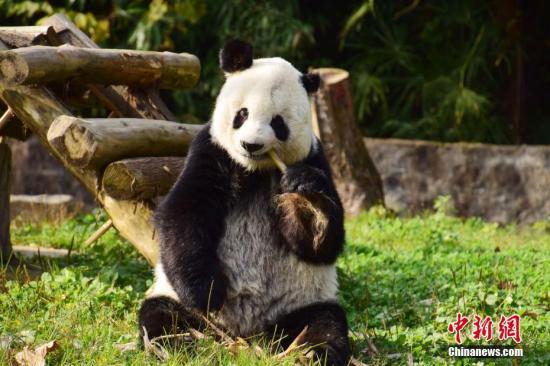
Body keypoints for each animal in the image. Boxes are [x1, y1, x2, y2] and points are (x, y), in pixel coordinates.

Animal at [140, 40, 352, 366]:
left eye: (278, 123)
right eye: (242, 114)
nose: (251, 145)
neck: (255, 170)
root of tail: (247, 333)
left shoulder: (314, 157)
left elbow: (321, 245)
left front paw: (304, 196)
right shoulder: (212, 151)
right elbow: (184, 212)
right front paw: (207, 292)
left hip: (302, 301)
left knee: (324, 323)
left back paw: (313, 353)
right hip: (174, 298)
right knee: (161, 316)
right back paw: (176, 345)